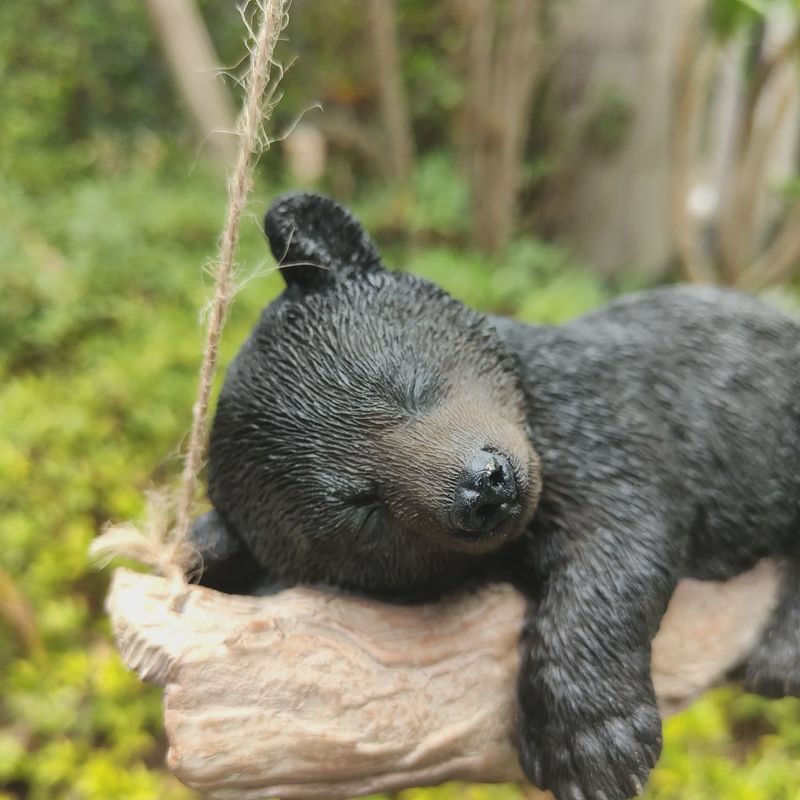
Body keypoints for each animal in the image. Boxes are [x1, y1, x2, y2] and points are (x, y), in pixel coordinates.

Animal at [189, 191, 800, 800]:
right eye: (363, 507)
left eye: (406, 384)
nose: (485, 486)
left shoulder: (602, 433)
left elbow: (616, 544)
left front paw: (593, 744)